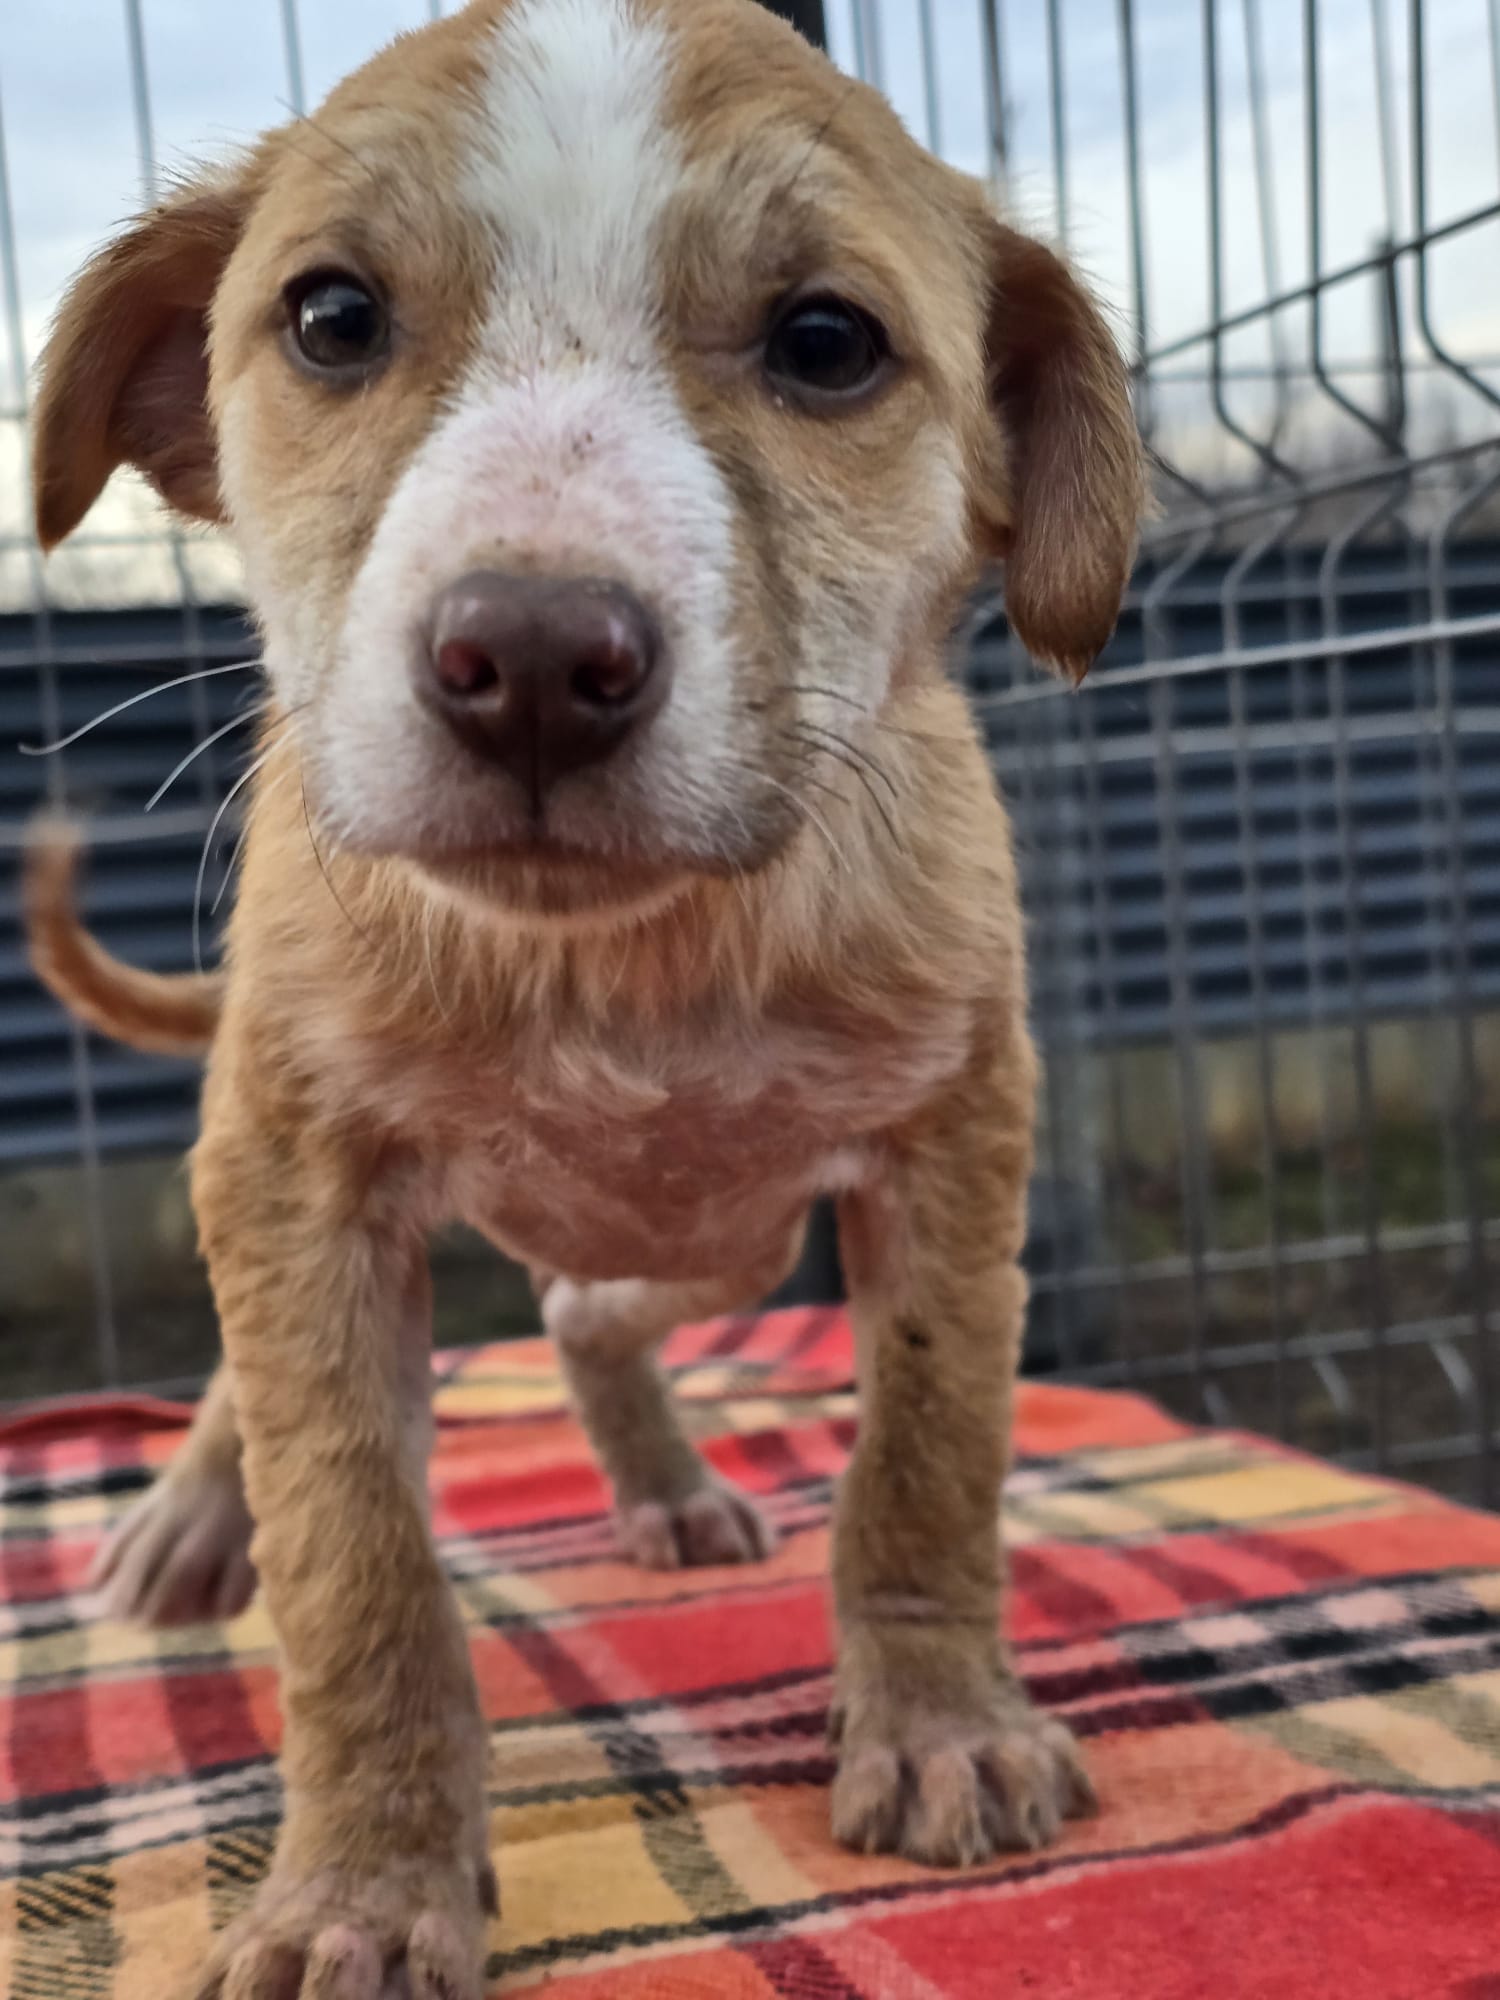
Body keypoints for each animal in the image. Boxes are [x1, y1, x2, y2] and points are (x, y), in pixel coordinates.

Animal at [23, 0, 1142, 1991]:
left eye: (827, 344)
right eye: (331, 317)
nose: (534, 658)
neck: (622, 962)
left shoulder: (950, 1149)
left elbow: (928, 1456)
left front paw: (942, 1725)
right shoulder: (296, 1177)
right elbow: (353, 1556)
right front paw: (364, 1882)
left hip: (735, 1232)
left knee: (585, 1305)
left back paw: (666, 1474)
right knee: (313, 1373)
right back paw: (196, 1515)